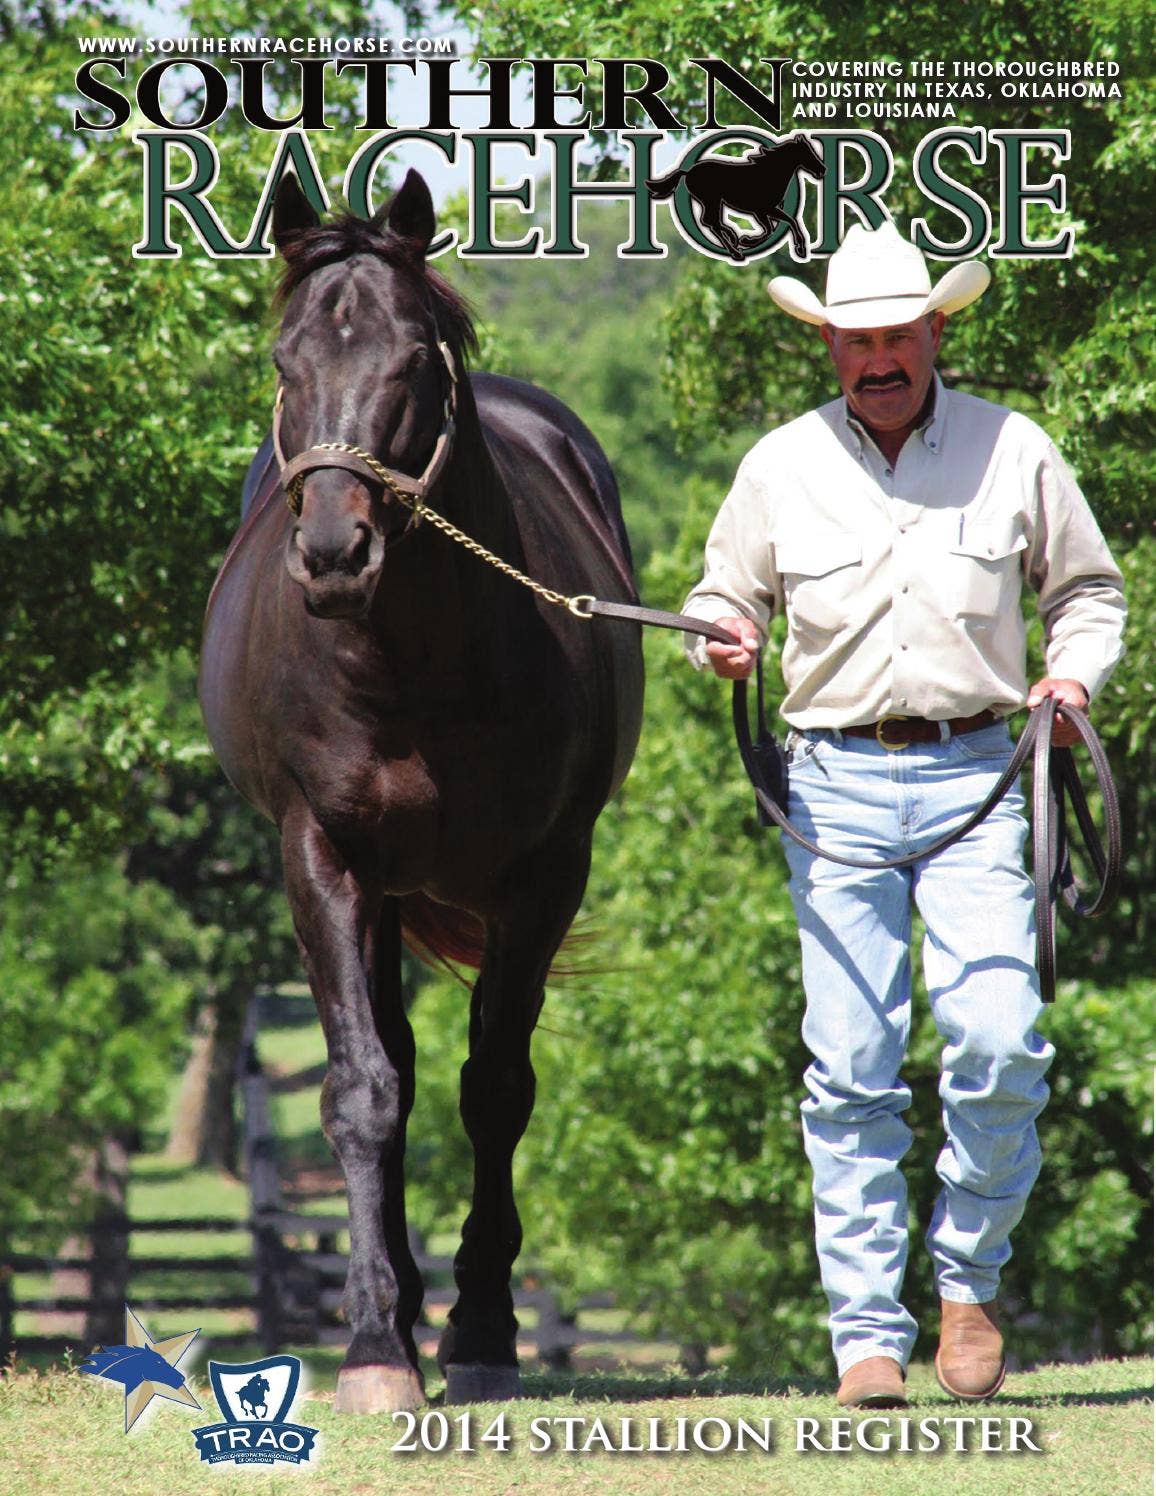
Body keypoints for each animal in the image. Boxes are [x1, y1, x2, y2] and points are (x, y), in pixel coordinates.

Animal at [199, 169, 643, 1414]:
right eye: (285, 361)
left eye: (410, 362)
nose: (333, 553)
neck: (414, 662)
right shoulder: (321, 855)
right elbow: (361, 1088)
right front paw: (370, 1344)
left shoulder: (544, 871)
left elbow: (493, 1086)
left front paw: (482, 1328)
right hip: (380, 888)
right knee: (384, 1057)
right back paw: (387, 1304)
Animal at [647, 132, 826, 260]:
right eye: (808, 152)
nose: (822, 170)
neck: (770, 173)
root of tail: (688, 172)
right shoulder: (762, 210)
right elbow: (775, 228)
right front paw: (747, 240)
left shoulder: (767, 210)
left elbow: (787, 222)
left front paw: (800, 249)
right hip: (712, 201)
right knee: (711, 222)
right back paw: (735, 250)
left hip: (714, 202)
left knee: (711, 222)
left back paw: (733, 240)